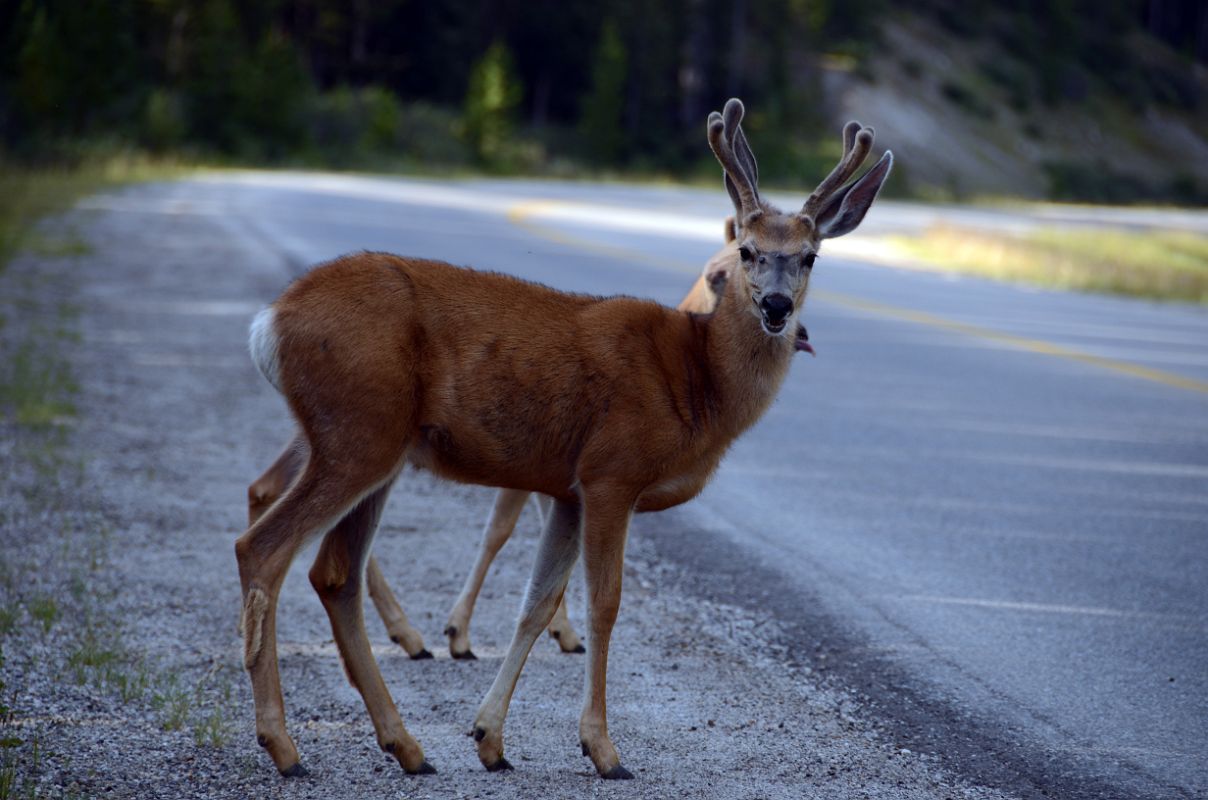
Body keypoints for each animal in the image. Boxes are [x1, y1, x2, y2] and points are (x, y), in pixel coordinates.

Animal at [235, 97, 893, 778]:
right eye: (746, 252)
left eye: (811, 256)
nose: (777, 308)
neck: (698, 382)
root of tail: (270, 322)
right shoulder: (611, 472)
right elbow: (604, 603)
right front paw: (603, 749)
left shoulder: (567, 490)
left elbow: (538, 602)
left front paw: (490, 738)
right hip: (356, 432)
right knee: (264, 549)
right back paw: (284, 745)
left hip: (372, 448)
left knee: (333, 573)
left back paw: (407, 745)